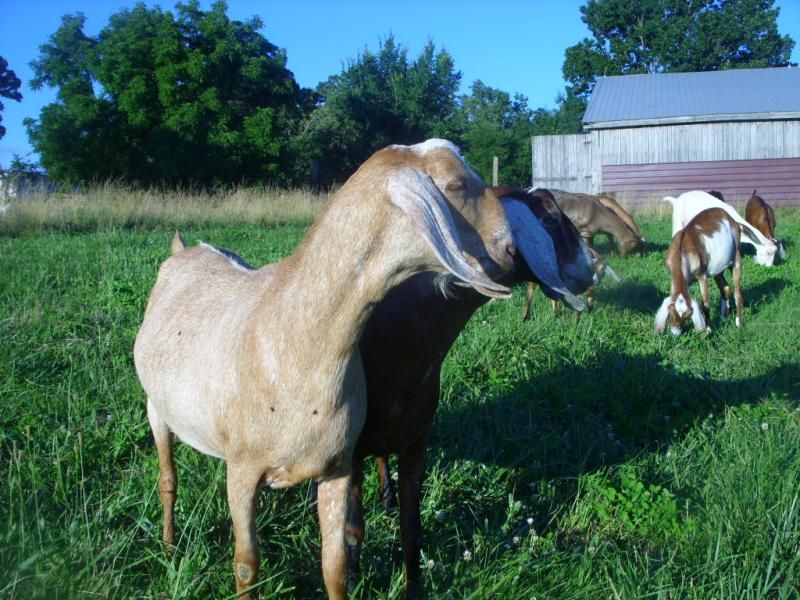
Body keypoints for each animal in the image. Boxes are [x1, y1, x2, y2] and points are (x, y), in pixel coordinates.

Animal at [133, 139, 517, 599]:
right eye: (457, 185)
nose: (511, 250)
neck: (290, 343)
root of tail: (183, 250)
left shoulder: (336, 467)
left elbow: (334, 565)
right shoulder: (242, 469)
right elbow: (246, 564)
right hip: (156, 408)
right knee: (166, 479)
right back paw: (170, 548)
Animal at [334, 187, 597, 598]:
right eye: (552, 218)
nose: (593, 265)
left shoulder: (417, 440)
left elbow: (412, 530)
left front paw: (414, 588)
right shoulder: (352, 451)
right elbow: (352, 530)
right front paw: (353, 578)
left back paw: (388, 497)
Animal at [655, 207, 751, 336]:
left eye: (687, 315)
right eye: (671, 313)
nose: (675, 333)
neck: (682, 251)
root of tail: (732, 220)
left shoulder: (702, 276)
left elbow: (705, 304)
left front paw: (708, 330)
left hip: (736, 258)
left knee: (737, 293)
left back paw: (739, 324)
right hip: (717, 269)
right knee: (725, 288)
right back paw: (723, 318)